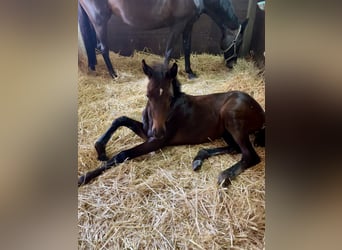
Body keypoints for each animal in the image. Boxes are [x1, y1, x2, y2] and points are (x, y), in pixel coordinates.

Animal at [78, 0, 247, 78]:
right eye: (238, 42)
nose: (232, 64)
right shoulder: (177, 25)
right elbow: (169, 51)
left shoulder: (188, 24)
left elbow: (187, 47)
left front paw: (190, 72)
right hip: (100, 21)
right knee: (103, 48)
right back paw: (114, 75)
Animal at [79, 59, 266, 187]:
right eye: (148, 95)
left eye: (169, 97)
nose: (159, 131)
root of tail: (261, 112)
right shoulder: (147, 133)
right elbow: (121, 119)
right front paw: (100, 149)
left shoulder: (156, 142)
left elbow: (122, 154)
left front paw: (84, 177)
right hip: (226, 130)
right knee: (234, 148)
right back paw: (198, 158)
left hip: (231, 118)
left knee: (250, 155)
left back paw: (224, 176)